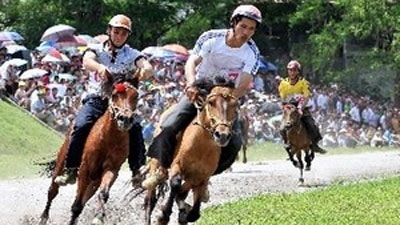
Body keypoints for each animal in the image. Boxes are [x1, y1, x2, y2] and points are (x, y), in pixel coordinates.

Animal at [39, 72, 139, 225]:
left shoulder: (111, 169)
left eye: (136, 96)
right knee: (52, 191)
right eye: (114, 95)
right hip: (61, 164)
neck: (108, 138)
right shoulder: (85, 169)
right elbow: (76, 204)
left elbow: (101, 194)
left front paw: (99, 217)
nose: (125, 119)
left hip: (94, 180)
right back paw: (44, 217)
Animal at [144, 76, 238, 225]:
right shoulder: (177, 165)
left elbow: (193, 209)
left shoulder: (201, 177)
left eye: (235, 105)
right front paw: (164, 215)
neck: (201, 146)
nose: (222, 135)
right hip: (155, 163)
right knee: (150, 198)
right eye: (211, 102)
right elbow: (176, 184)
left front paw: (184, 212)